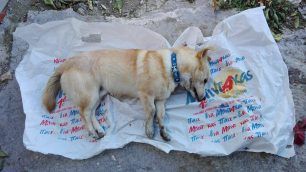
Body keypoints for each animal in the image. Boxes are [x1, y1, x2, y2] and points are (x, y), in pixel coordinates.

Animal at [42, 46, 210, 141]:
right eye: (206, 80)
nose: (204, 98)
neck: (172, 65)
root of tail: (68, 63)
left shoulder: (160, 100)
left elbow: (161, 116)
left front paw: (163, 131)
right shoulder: (146, 96)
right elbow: (151, 113)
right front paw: (149, 130)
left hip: (98, 96)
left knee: (91, 113)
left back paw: (99, 130)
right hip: (90, 96)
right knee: (83, 114)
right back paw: (92, 132)